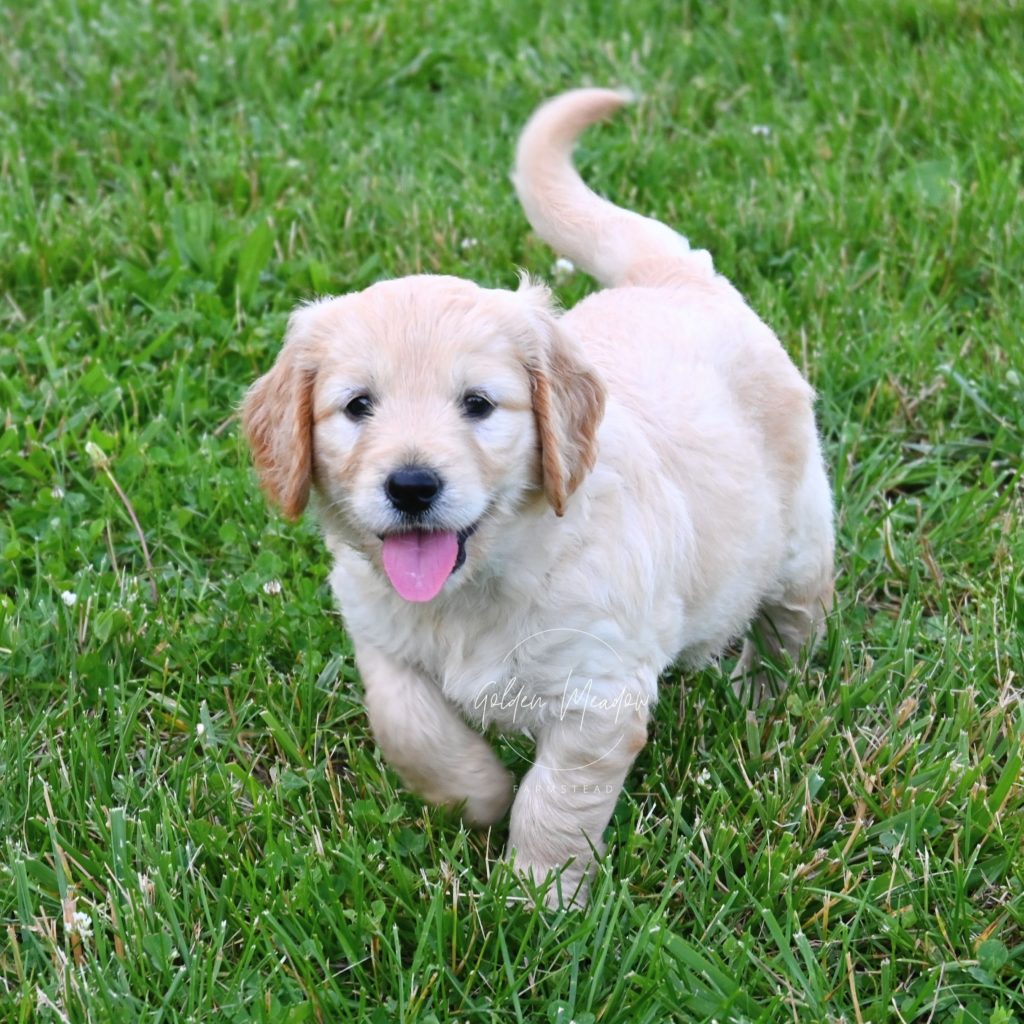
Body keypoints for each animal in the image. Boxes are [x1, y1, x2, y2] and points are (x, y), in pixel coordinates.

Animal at [243, 88, 835, 905]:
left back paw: (760, 697)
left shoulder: (598, 693)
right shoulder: (381, 637)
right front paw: (477, 795)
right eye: (358, 406)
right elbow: (409, 726)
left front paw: (538, 897)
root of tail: (675, 275)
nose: (412, 485)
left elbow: (556, 800)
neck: (479, 587)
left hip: (800, 541)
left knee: (790, 623)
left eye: (479, 405)